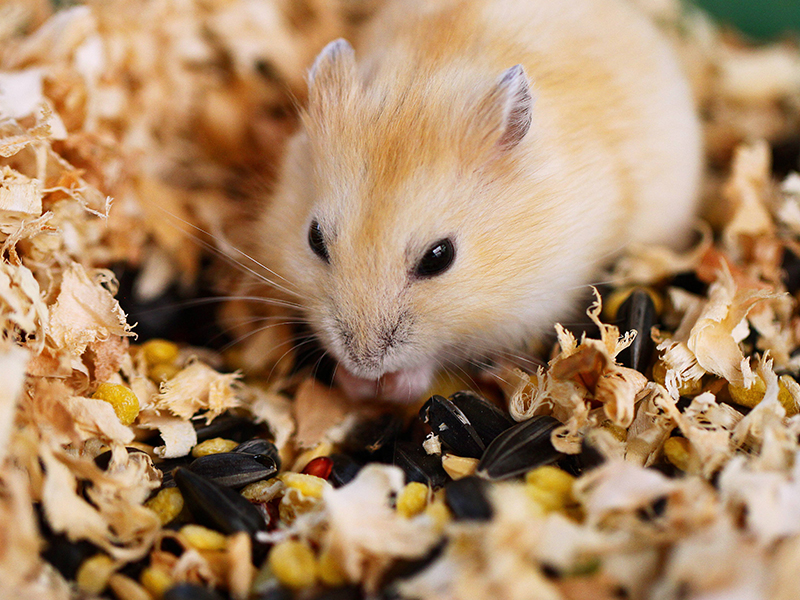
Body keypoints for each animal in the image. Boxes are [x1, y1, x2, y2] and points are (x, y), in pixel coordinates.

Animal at [255, 0, 700, 404]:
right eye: (314, 239)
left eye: (439, 257)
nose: (364, 364)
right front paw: (356, 384)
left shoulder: (532, 305)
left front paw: (393, 384)